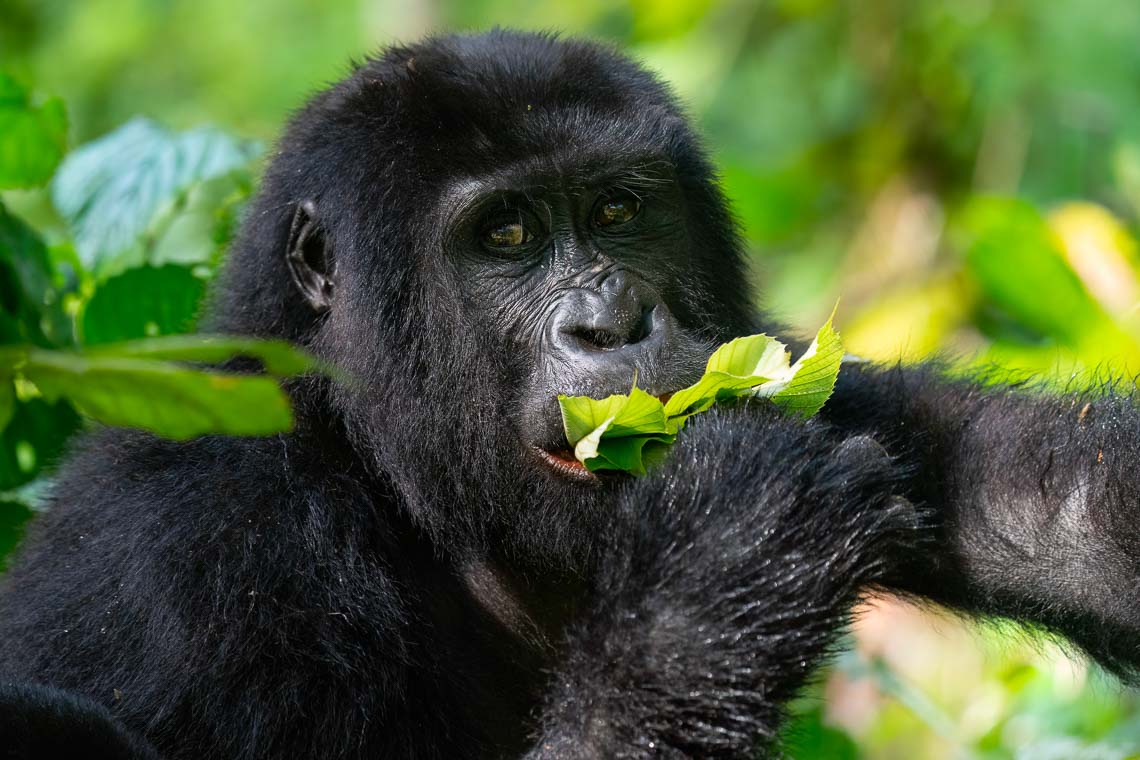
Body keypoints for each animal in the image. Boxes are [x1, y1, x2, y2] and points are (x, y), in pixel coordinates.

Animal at [2, 29, 1140, 760]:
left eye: (619, 210)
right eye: (506, 234)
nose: (613, 320)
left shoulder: (784, 365)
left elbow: (1071, 510)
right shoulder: (211, 543)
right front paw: (722, 563)